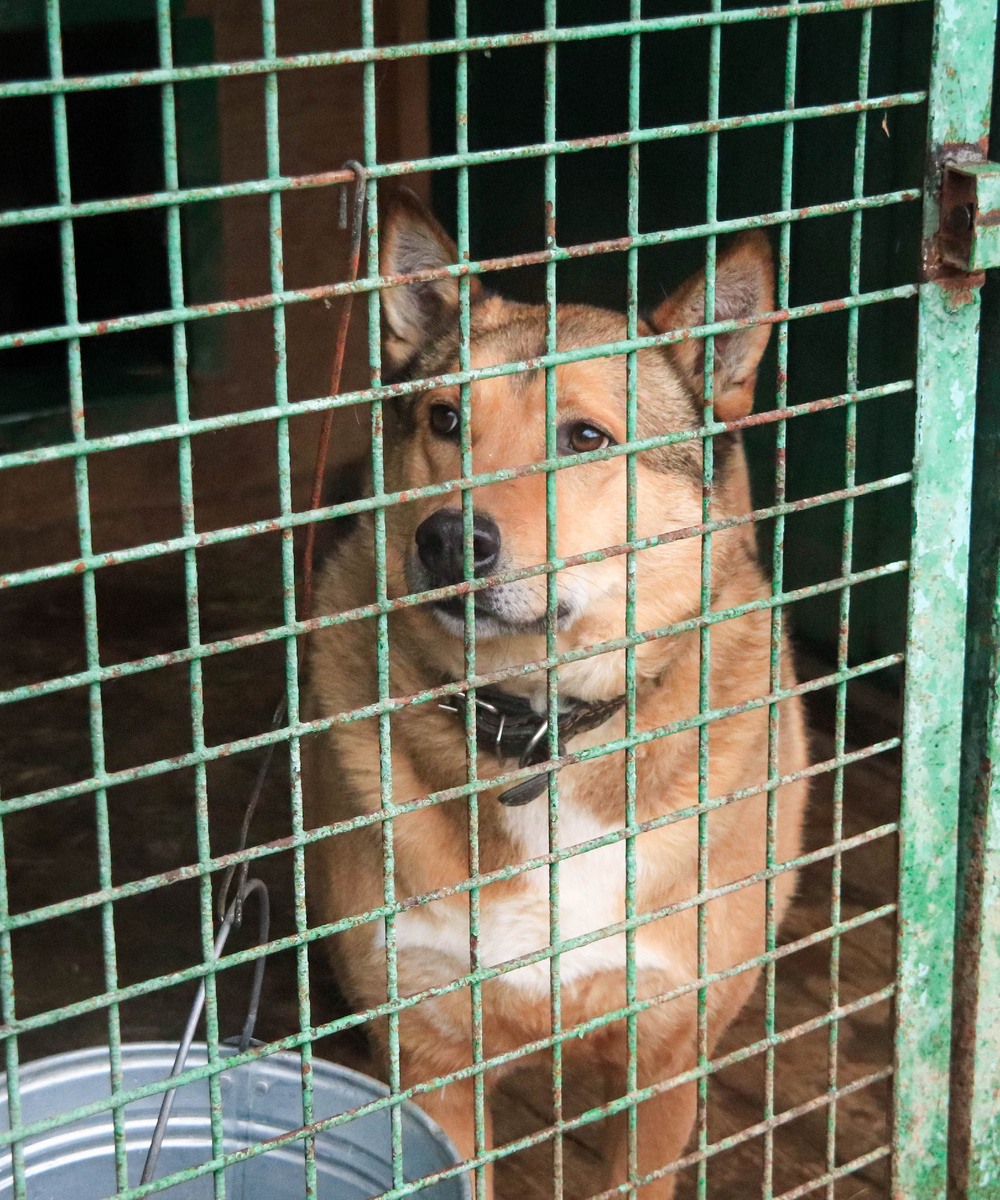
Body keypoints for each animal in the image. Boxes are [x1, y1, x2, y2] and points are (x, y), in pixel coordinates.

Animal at [300, 192, 806, 1195]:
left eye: (586, 438)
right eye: (445, 419)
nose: (446, 540)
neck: (541, 730)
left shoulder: (665, 1058)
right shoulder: (430, 1061)